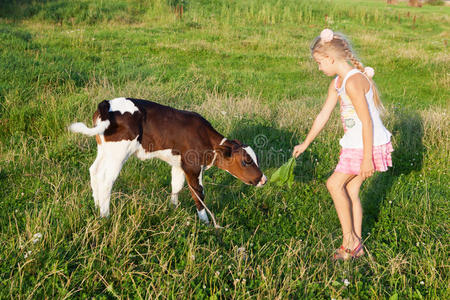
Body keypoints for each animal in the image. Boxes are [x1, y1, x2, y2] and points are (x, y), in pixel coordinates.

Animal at [69, 97, 268, 224]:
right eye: (246, 161)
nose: (263, 179)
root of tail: (107, 104)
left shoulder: (179, 164)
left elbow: (176, 185)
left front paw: (174, 208)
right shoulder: (193, 166)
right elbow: (198, 193)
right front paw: (205, 223)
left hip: (104, 148)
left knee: (94, 171)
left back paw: (96, 206)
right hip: (119, 151)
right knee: (106, 179)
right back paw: (105, 215)